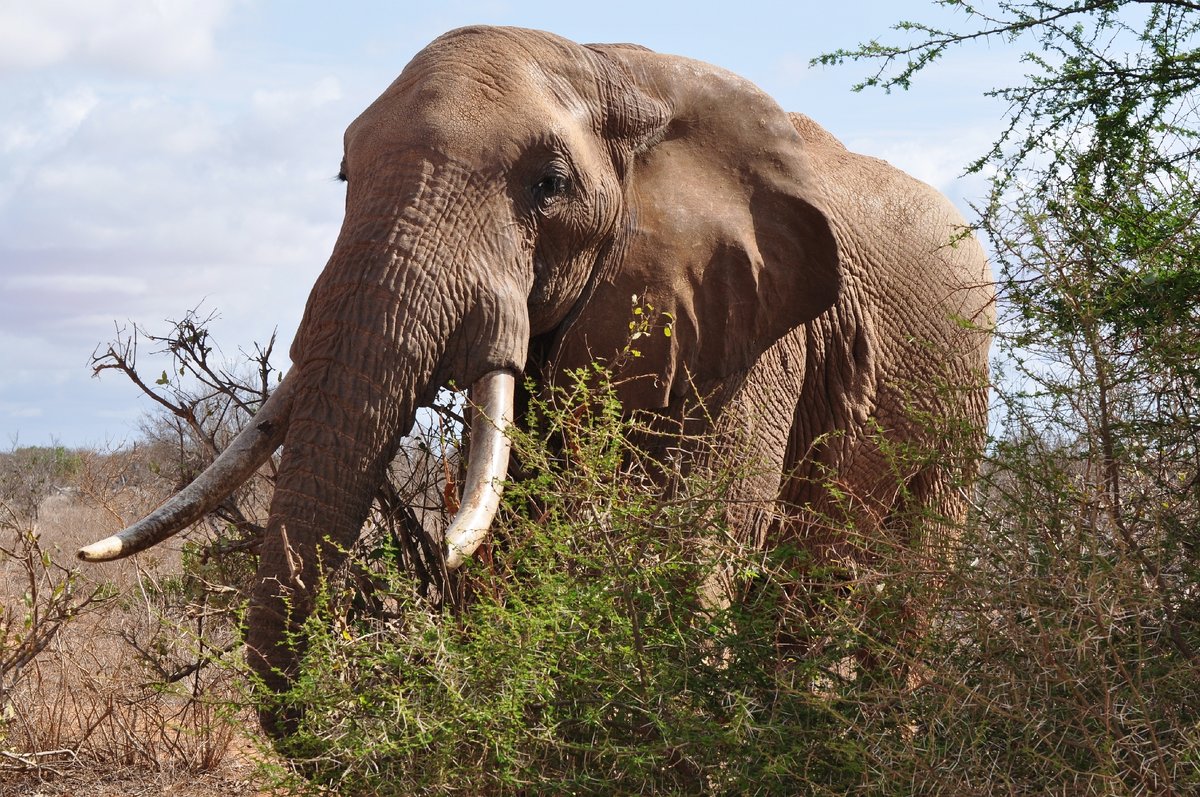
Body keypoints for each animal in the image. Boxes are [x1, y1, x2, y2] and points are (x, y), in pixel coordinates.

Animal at [77, 23, 993, 734]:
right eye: (344, 177)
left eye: (549, 186)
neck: (613, 70)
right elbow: (515, 526)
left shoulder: (760, 327)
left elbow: (704, 541)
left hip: (964, 387)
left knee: (917, 567)